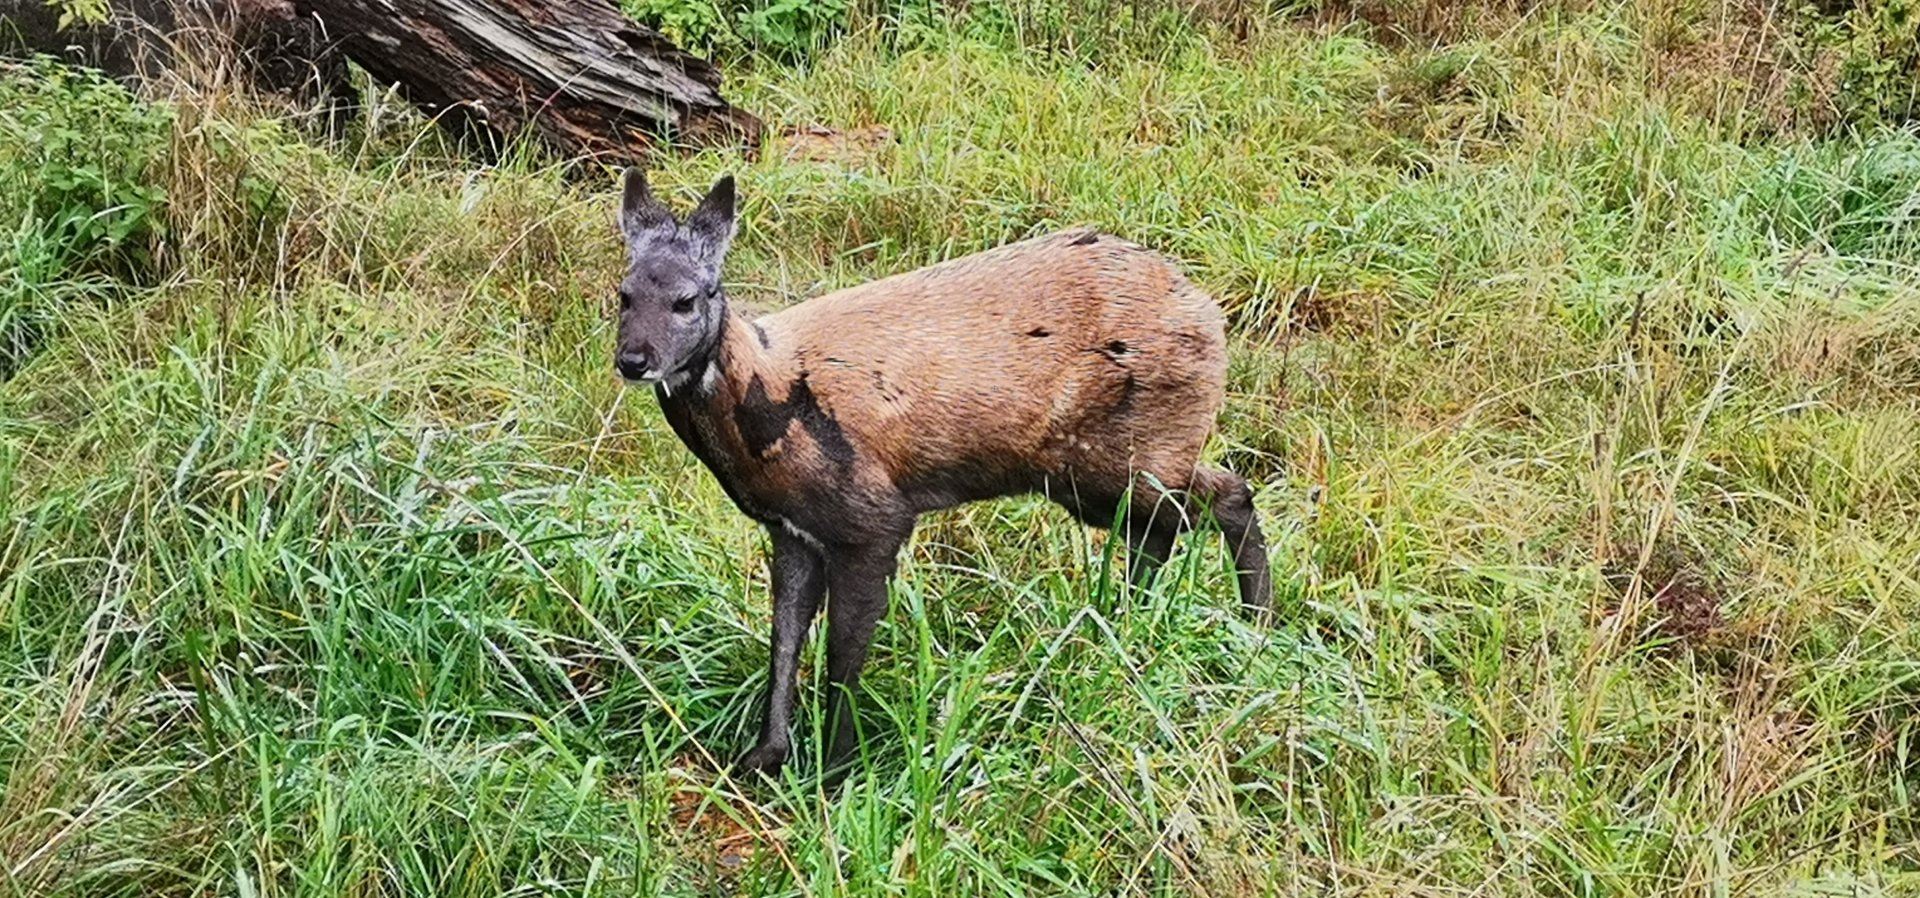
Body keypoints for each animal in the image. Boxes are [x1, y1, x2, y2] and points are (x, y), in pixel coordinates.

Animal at [611, 170, 1271, 775]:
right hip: (1097, 474)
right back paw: (1124, 627)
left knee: (1226, 495)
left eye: (690, 298)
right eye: (624, 293)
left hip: (1131, 454)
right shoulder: (790, 529)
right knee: (1164, 527)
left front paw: (837, 770)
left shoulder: (872, 518)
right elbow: (785, 638)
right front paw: (764, 756)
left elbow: (843, 655)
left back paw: (1255, 628)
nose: (633, 360)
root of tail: (1208, 311)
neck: (771, 401)